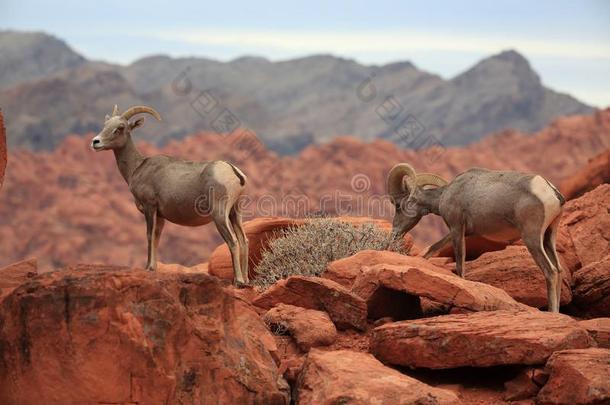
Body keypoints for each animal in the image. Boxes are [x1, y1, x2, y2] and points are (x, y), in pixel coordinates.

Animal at [90, 105, 247, 286]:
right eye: (105, 124)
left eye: (120, 127)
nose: (95, 142)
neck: (137, 168)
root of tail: (234, 172)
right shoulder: (161, 216)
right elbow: (157, 237)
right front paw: (153, 268)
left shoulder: (150, 208)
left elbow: (149, 235)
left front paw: (148, 267)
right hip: (235, 213)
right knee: (243, 240)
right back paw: (247, 280)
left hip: (220, 215)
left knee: (233, 241)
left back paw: (238, 281)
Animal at [388, 164, 564, 312]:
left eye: (398, 206)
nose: (395, 233)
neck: (445, 195)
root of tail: (552, 193)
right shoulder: (464, 231)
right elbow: (432, 249)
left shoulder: (457, 228)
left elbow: (460, 265)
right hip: (548, 238)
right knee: (559, 269)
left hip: (532, 239)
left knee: (551, 271)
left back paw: (552, 312)